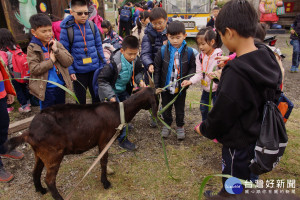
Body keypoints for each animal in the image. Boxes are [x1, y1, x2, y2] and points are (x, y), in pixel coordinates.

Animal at [4, 87, 159, 200]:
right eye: (156, 98)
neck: (119, 111)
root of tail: (29, 132)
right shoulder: (104, 141)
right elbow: (103, 161)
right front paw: (105, 183)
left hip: (40, 154)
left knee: (35, 172)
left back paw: (41, 190)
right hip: (53, 154)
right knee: (49, 180)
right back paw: (59, 197)